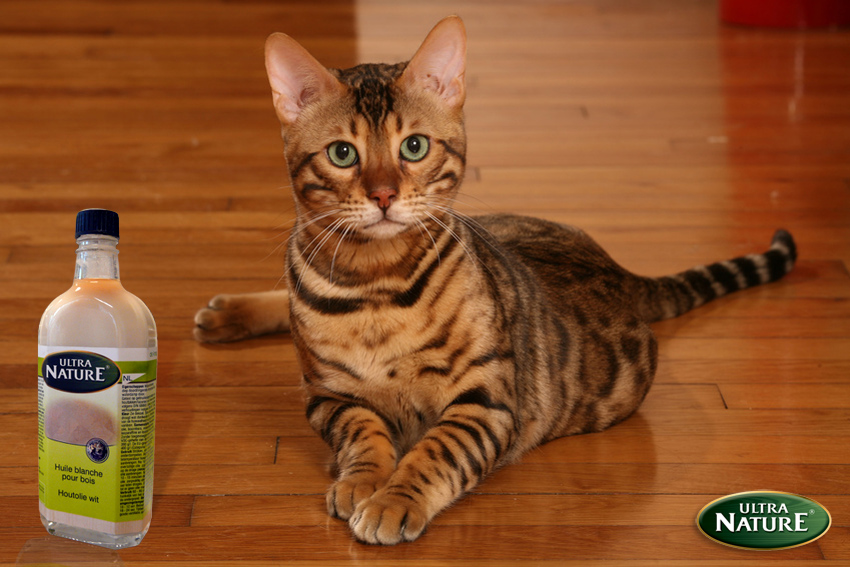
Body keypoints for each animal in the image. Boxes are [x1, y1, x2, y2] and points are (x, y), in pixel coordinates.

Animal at [194, 16, 797, 545]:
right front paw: (360, 482)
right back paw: (227, 314)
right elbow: (365, 435)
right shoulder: (328, 395)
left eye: (414, 146)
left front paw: (392, 502)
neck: (376, 287)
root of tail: (617, 267)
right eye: (343, 153)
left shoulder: (485, 400)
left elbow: (434, 452)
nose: (384, 195)